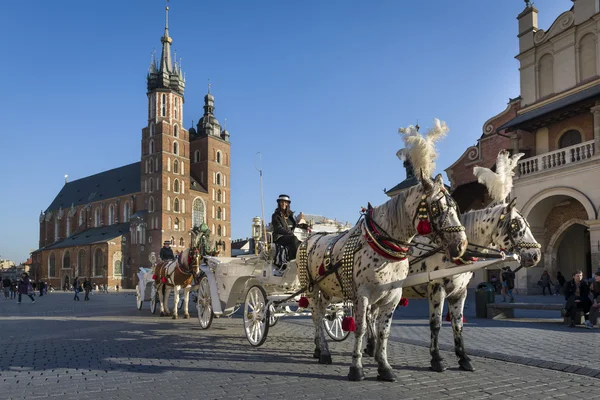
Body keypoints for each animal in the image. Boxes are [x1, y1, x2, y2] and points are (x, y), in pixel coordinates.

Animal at [300, 119, 468, 382]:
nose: (460, 244)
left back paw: (319, 349)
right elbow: (360, 329)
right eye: (437, 207)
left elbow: (384, 332)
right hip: (311, 287)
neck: (385, 246)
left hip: (327, 290)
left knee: (321, 314)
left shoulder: (392, 297)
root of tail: (311, 236)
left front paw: (384, 366)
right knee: (317, 316)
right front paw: (356, 368)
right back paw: (325, 352)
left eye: (456, 207)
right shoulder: (362, 296)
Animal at [364, 149, 540, 372]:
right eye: (516, 225)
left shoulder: (460, 292)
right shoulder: (436, 289)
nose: (535, 255)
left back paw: (372, 347)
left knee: (372, 316)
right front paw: (436, 359)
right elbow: (436, 324)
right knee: (369, 316)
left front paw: (463, 358)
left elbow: (458, 324)